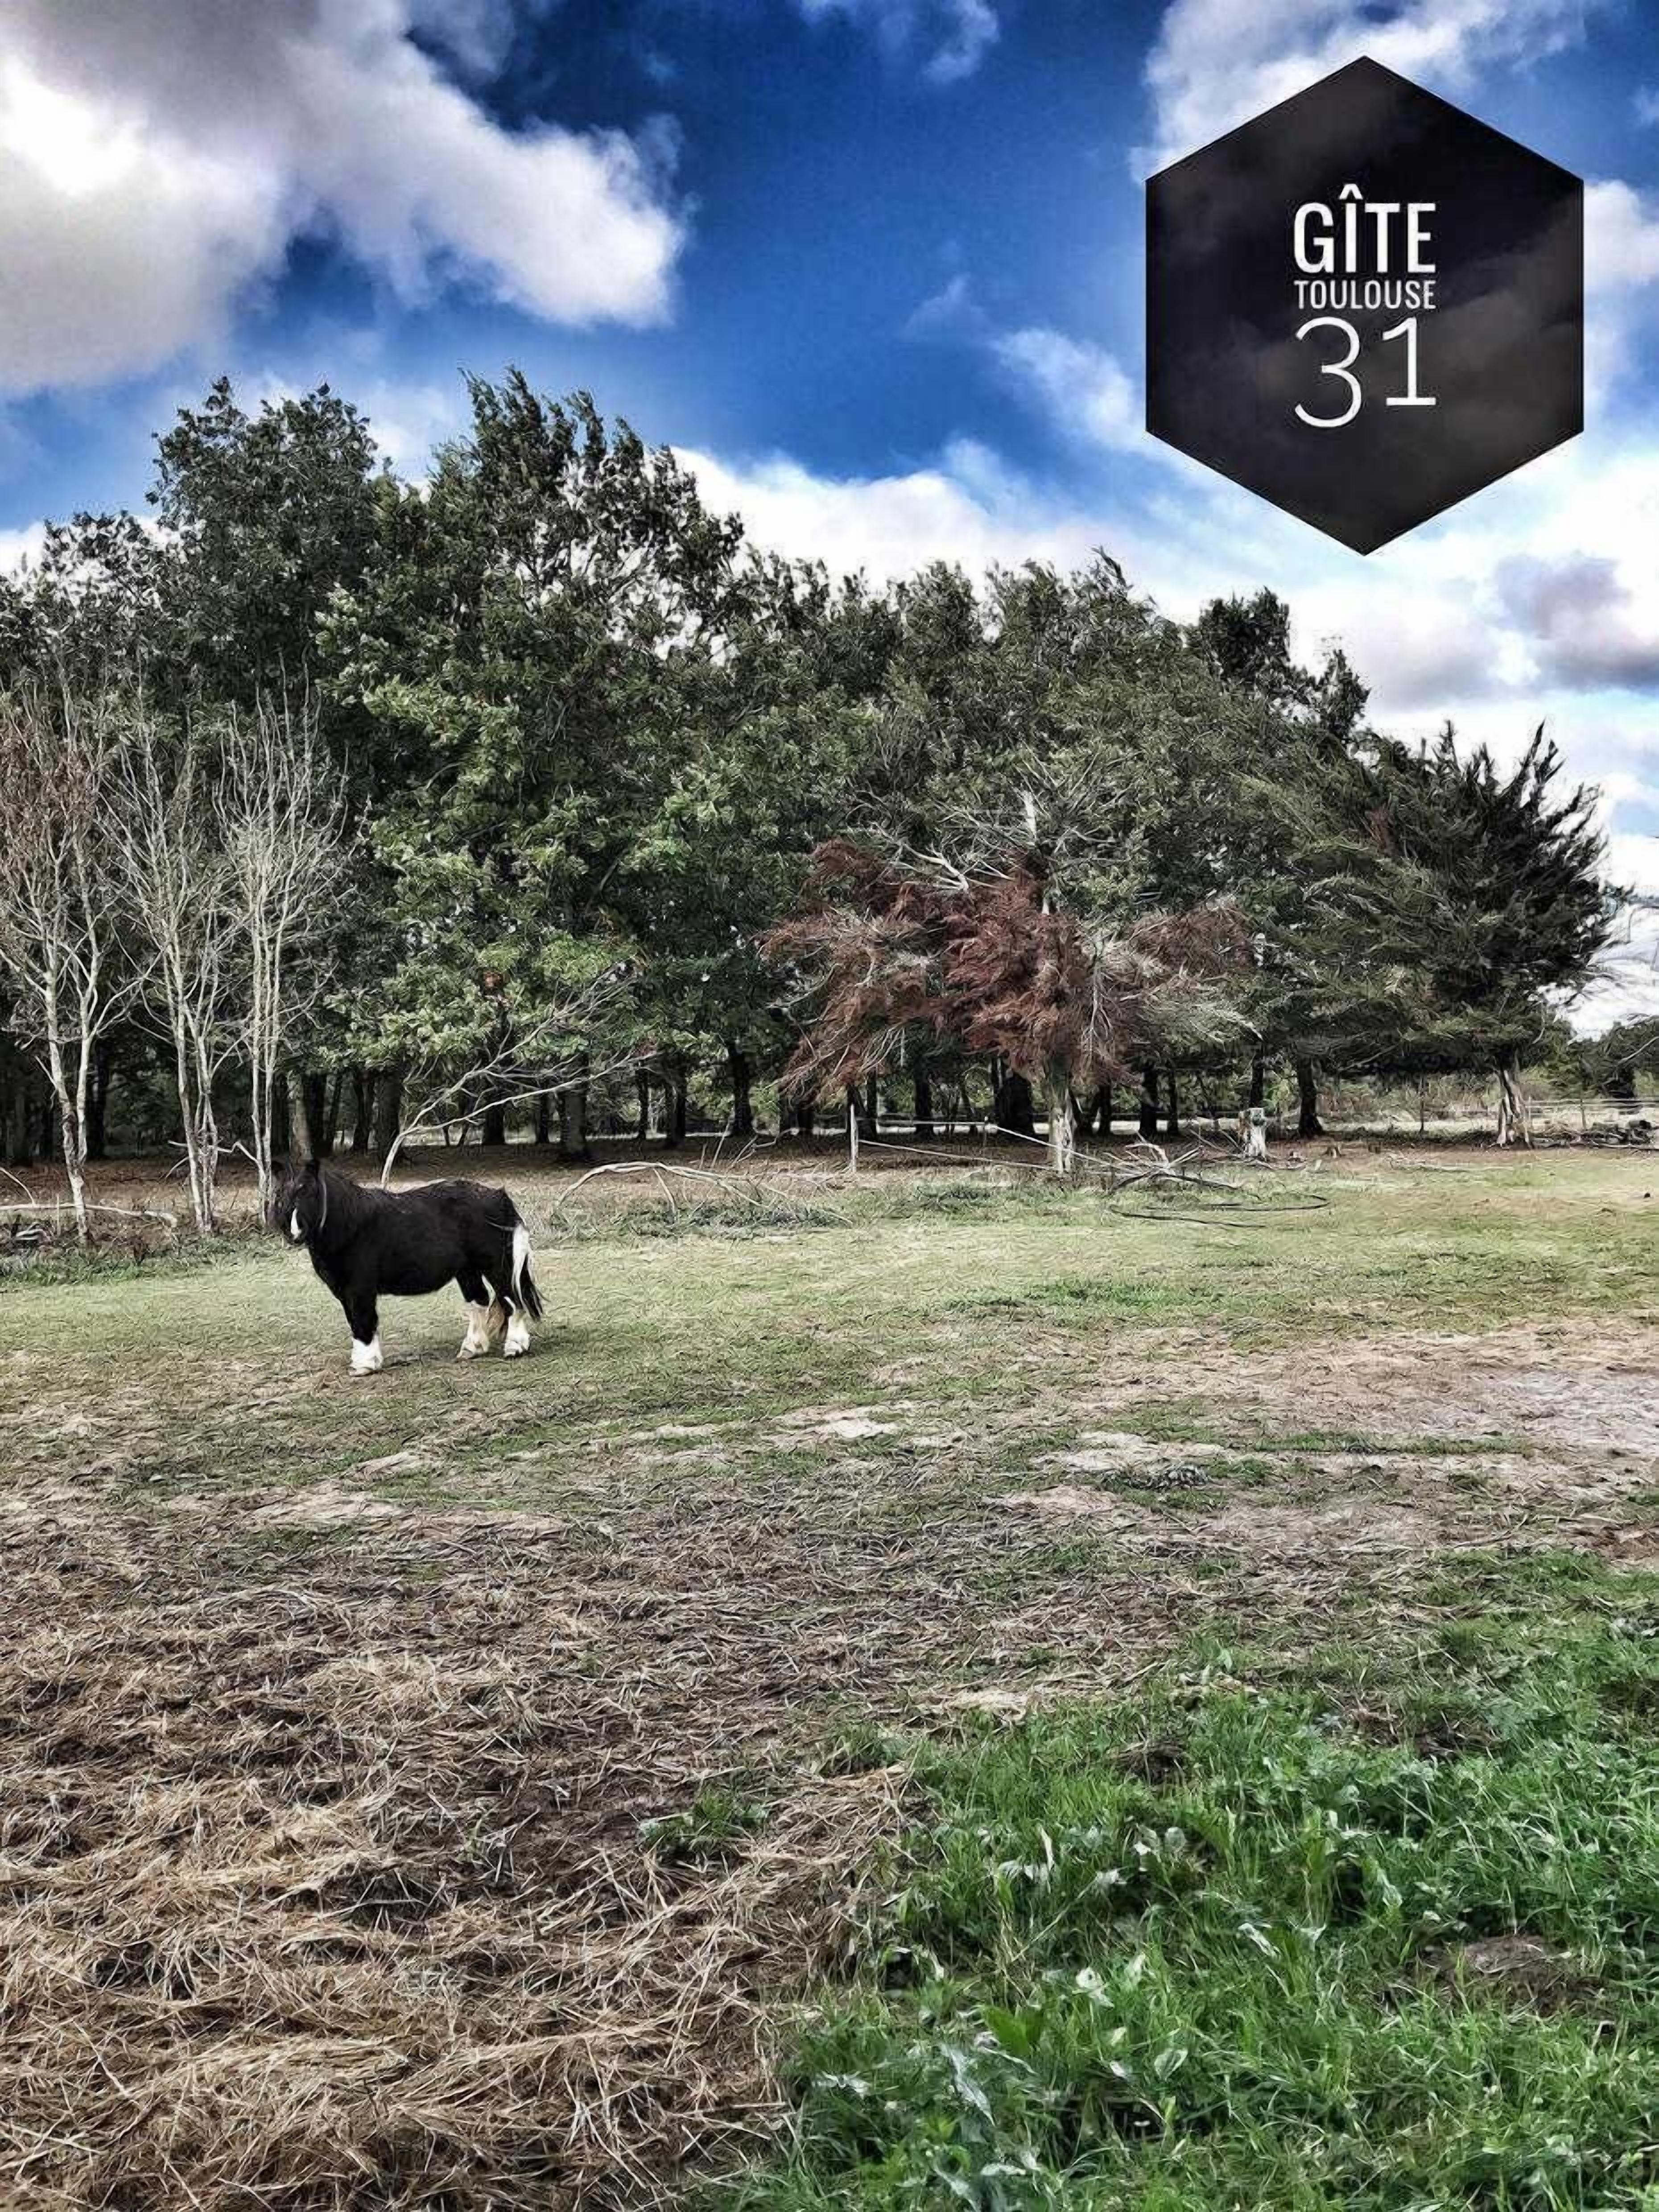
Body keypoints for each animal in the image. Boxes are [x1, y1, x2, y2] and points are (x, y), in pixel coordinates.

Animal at [272, 1160, 543, 1374]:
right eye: (281, 1195)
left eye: (309, 1192)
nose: (293, 1231)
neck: (352, 1225)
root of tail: (498, 1197)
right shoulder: (343, 1292)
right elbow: (355, 1323)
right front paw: (363, 1361)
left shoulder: (360, 1289)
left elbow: (363, 1321)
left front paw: (365, 1365)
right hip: (468, 1270)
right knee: (479, 1301)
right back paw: (471, 1349)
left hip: (495, 1265)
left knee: (513, 1300)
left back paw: (515, 1348)